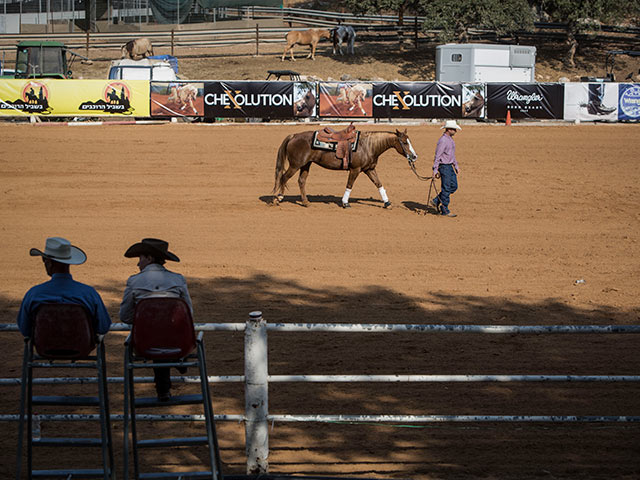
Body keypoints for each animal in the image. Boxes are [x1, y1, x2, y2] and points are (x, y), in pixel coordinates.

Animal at [272, 129, 418, 208]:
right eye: (404, 142)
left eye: (409, 141)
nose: (414, 156)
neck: (368, 145)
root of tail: (294, 135)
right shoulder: (355, 169)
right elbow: (350, 185)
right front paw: (345, 203)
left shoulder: (369, 169)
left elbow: (379, 184)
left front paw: (387, 203)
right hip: (295, 165)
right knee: (284, 177)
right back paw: (278, 198)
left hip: (305, 165)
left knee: (301, 181)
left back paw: (305, 202)